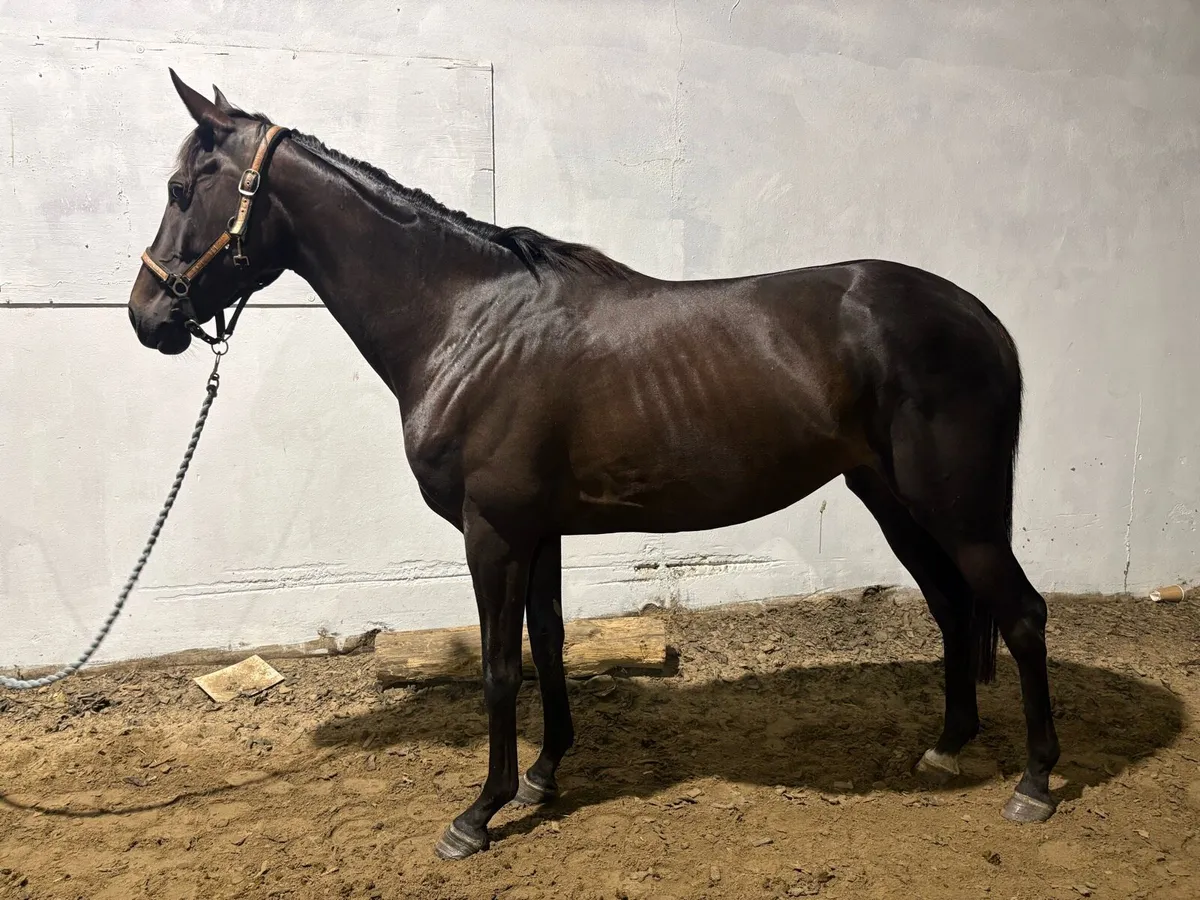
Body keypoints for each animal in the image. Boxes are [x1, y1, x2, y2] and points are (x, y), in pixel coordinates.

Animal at [128, 71, 1059, 859]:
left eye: (180, 189)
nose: (146, 316)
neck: (466, 320)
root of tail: (982, 319)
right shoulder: (539, 532)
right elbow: (550, 644)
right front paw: (542, 777)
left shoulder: (493, 532)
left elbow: (500, 667)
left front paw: (478, 813)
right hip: (892, 498)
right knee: (952, 608)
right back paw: (946, 747)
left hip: (958, 508)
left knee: (1019, 613)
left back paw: (1037, 782)